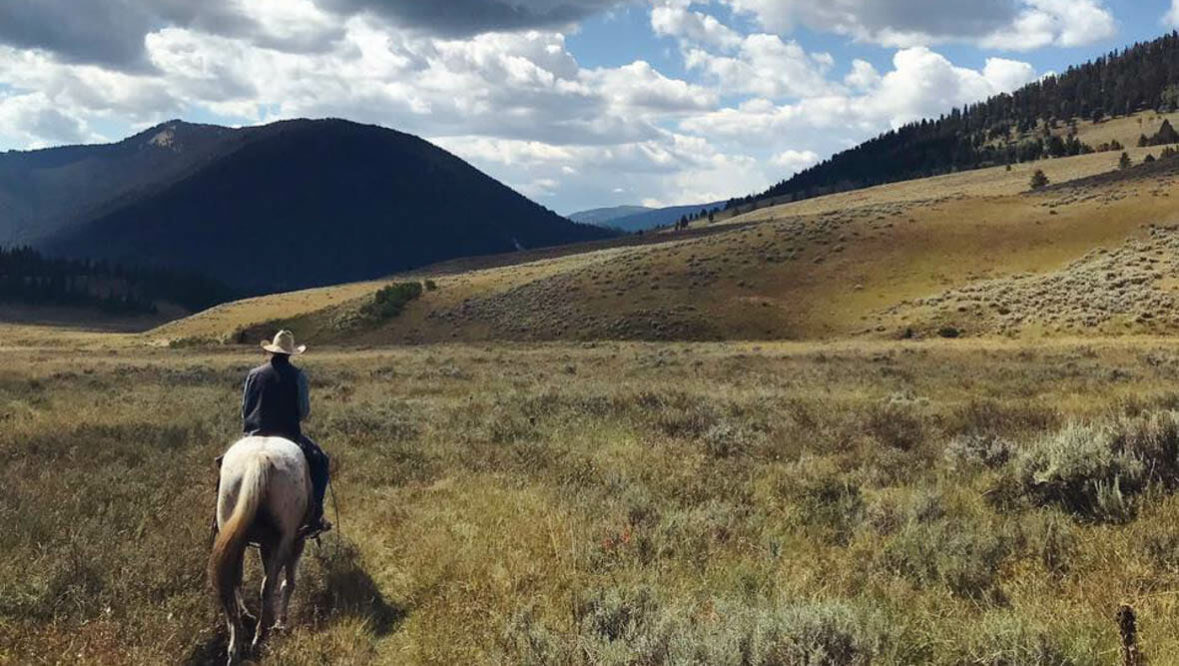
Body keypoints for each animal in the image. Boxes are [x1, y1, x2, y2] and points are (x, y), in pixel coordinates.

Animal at [209, 436, 310, 665]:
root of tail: (259, 458)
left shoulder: (265, 544)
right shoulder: (296, 541)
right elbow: (289, 581)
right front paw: (280, 622)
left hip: (233, 531)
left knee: (233, 581)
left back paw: (235, 646)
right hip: (285, 539)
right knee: (268, 585)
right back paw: (259, 636)